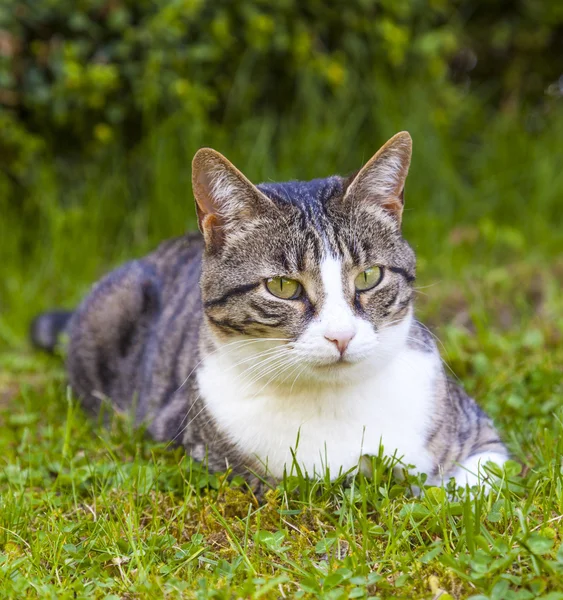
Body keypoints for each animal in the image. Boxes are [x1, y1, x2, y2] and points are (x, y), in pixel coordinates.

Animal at [30, 131, 508, 488]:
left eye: (369, 277)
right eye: (282, 287)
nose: (341, 336)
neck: (332, 402)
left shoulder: (480, 435)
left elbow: (473, 483)